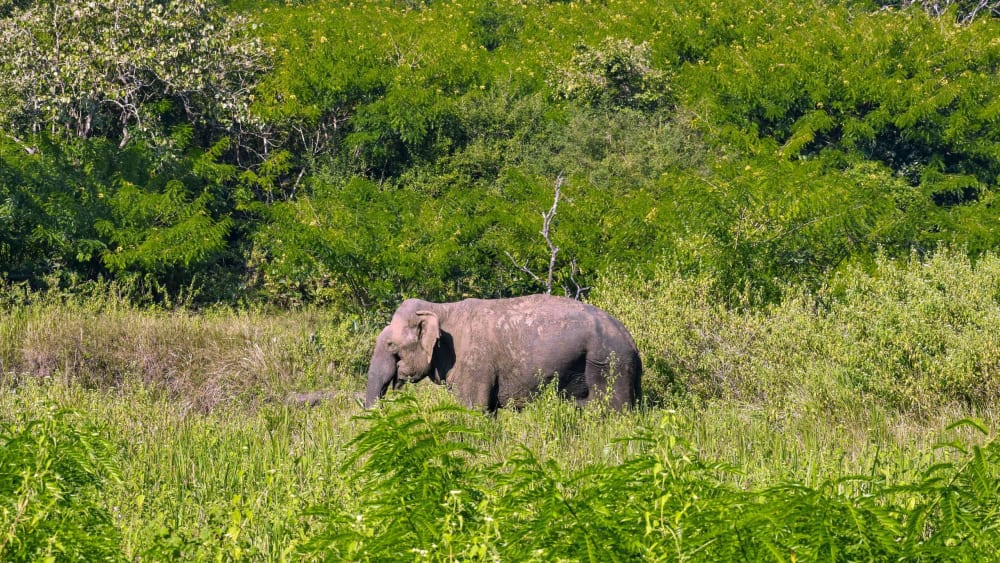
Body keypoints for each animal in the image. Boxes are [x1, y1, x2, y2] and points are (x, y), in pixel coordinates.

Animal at [365, 294, 642, 412]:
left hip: (607, 364)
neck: (441, 308)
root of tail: (631, 340)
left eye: (391, 345)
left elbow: (474, 410)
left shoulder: (475, 364)